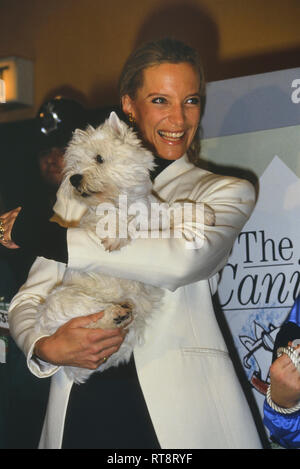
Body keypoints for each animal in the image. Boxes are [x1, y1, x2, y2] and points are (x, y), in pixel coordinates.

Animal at [34, 111, 213, 382]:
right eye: (74, 163)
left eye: (99, 158)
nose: (74, 178)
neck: (125, 202)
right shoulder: (96, 221)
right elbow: (110, 217)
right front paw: (116, 234)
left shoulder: (154, 214)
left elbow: (173, 209)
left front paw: (204, 213)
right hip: (61, 300)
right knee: (88, 314)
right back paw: (115, 315)